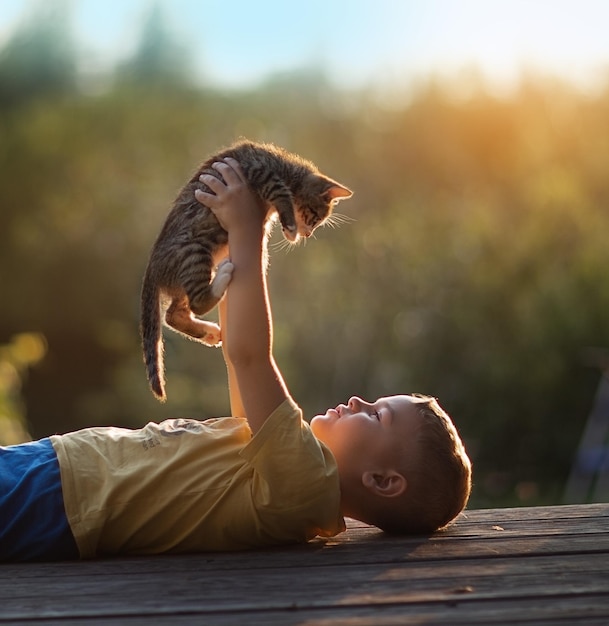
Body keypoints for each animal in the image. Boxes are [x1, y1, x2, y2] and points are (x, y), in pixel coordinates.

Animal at [140, 138, 352, 400]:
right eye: (314, 217)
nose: (308, 234)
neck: (286, 166)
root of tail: (152, 267)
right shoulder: (260, 171)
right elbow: (280, 191)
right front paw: (290, 225)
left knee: (173, 314)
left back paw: (209, 331)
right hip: (193, 251)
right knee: (196, 302)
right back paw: (222, 278)